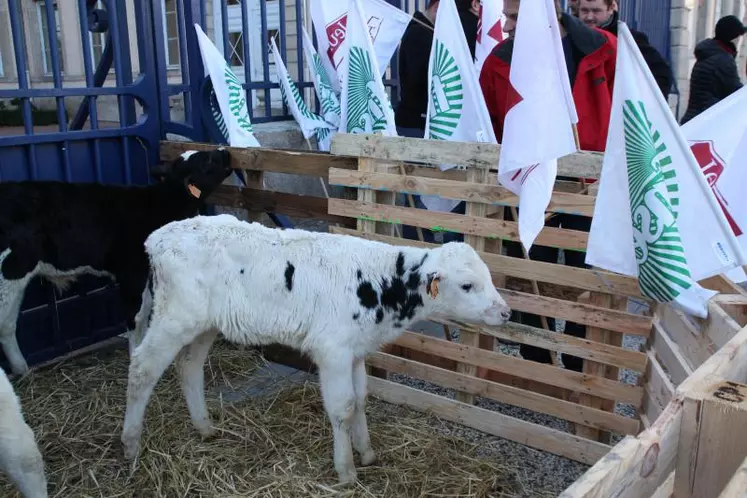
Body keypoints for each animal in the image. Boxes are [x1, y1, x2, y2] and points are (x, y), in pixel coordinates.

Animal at [0, 148, 232, 374]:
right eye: (206, 160)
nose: (226, 152)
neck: (159, 204)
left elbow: (146, 308)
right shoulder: (131, 273)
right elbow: (135, 316)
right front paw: (136, 355)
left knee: (8, 324)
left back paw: (22, 369)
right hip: (11, 269)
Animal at [121, 215, 516, 486]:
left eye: (489, 277)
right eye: (467, 285)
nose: (506, 312)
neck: (377, 284)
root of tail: (159, 236)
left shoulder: (356, 351)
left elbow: (361, 399)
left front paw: (367, 452)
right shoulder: (333, 350)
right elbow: (342, 408)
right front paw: (346, 470)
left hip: (205, 325)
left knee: (189, 365)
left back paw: (204, 428)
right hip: (174, 318)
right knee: (142, 368)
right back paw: (130, 446)